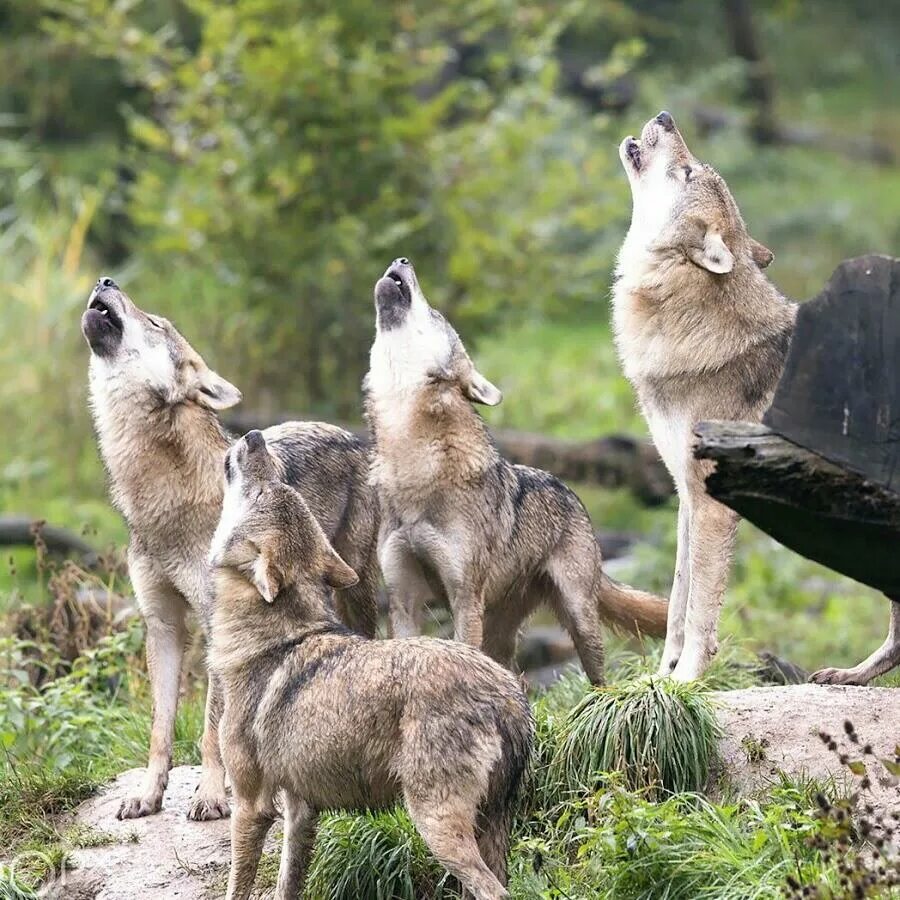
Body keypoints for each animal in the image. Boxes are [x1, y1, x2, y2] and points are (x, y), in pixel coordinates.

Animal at [81, 278, 380, 820]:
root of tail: (350, 434)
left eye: (155, 322)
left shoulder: (215, 624)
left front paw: (211, 795)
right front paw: (149, 794)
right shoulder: (161, 623)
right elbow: (160, 728)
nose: (106, 281)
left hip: (356, 589)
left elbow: (211, 728)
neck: (160, 500)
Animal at [209, 428, 536, 900]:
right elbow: (287, 883)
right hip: (489, 826)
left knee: (494, 891)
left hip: (435, 826)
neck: (274, 639)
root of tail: (509, 695)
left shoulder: (251, 804)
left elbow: (239, 884)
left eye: (265, 490)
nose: (254, 437)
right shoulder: (299, 808)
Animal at [616, 109, 800, 680]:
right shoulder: (685, 497)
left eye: (688, 172)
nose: (665, 115)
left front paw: (689, 681)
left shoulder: (713, 504)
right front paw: (661, 679)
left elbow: (701, 610)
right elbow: (677, 600)